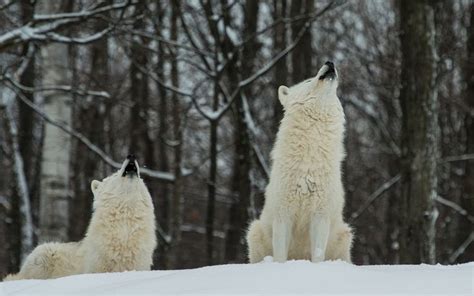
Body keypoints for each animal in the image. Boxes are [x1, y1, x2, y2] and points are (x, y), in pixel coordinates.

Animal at [246, 61, 354, 262]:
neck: (309, 161)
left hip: (345, 234)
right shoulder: (283, 214)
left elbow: (318, 254)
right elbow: (280, 255)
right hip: (254, 230)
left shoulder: (321, 215)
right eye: (308, 80)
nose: (330, 62)